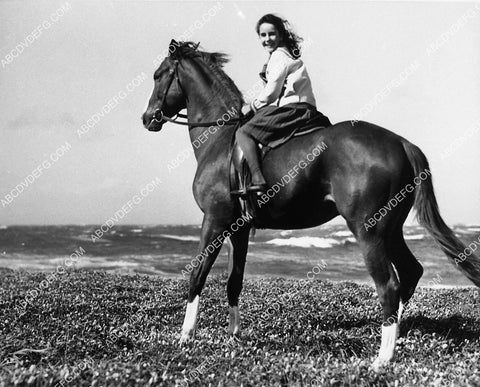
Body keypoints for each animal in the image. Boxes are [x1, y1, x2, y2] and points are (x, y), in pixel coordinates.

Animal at [142, 41, 480, 372]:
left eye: (158, 75)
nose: (147, 118)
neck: (221, 141)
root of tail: (401, 143)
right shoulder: (239, 229)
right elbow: (234, 282)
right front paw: (234, 336)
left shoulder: (214, 221)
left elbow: (197, 274)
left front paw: (185, 336)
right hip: (391, 230)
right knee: (411, 272)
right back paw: (398, 337)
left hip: (369, 232)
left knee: (389, 286)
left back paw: (383, 358)